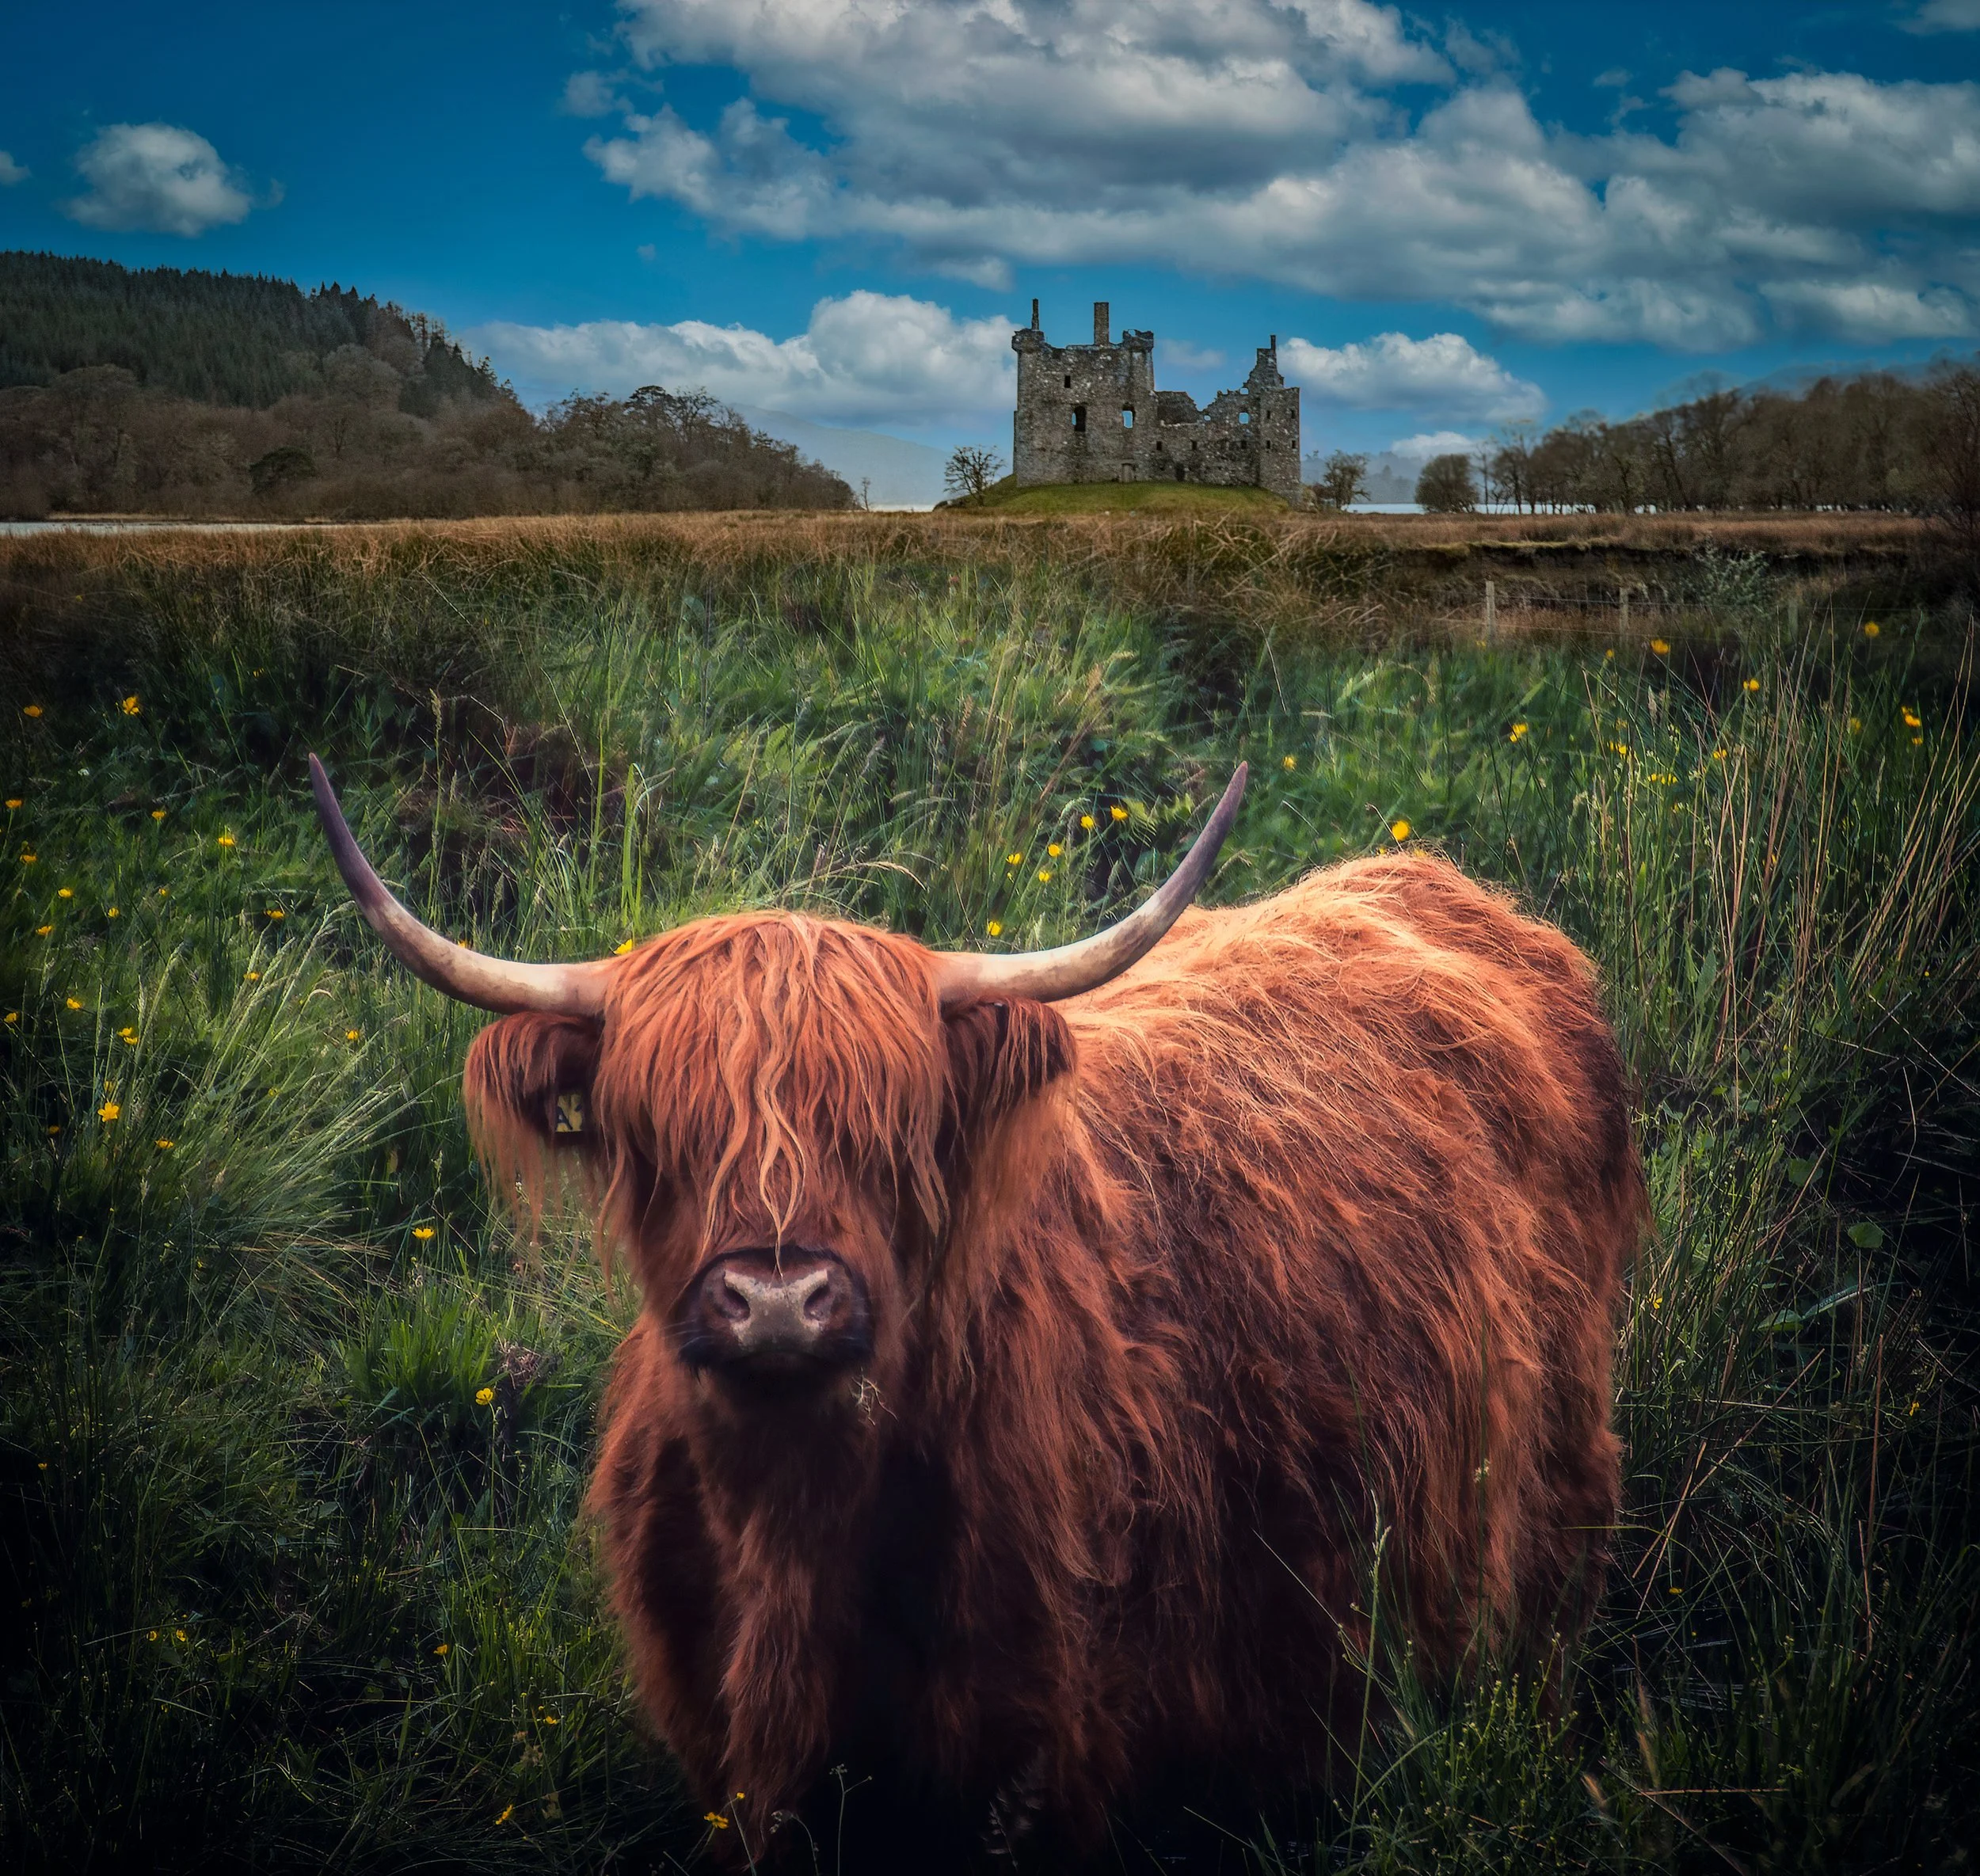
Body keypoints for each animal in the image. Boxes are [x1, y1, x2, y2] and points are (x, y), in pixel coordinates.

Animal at [310, 753, 1642, 1865]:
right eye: (654, 1132)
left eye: (892, 1130)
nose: (780, 1299)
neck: (794, 1529)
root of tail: (1442, 887)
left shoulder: (1045, 1752)